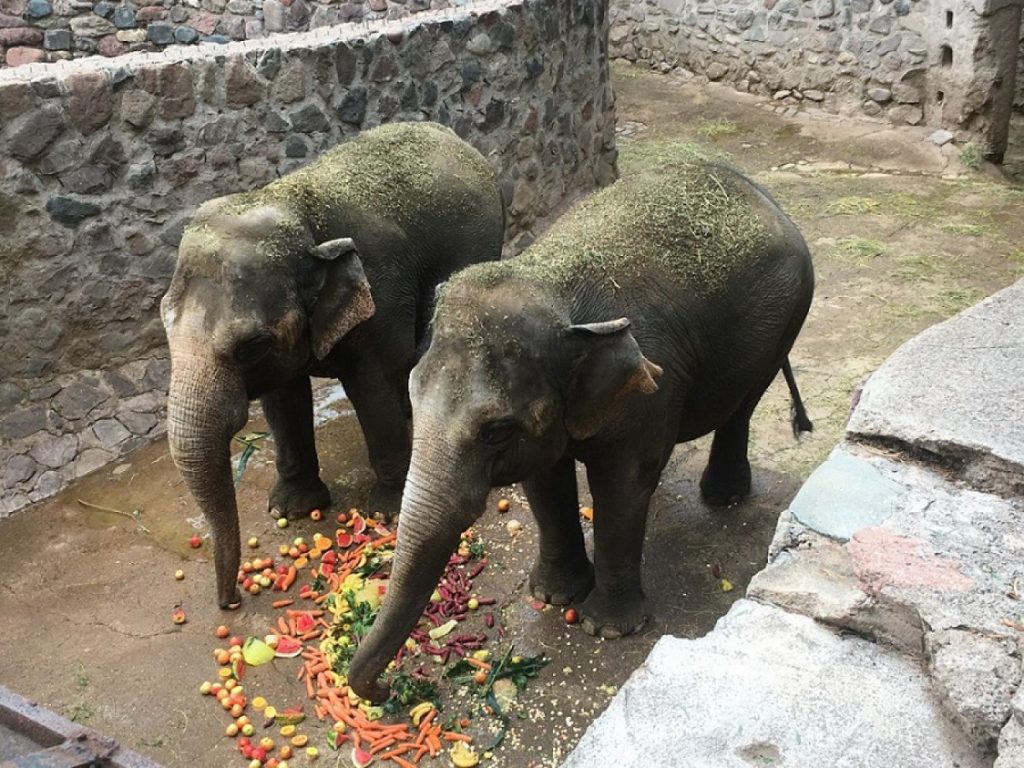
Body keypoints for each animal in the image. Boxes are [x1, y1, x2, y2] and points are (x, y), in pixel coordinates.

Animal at [160, 123, 507, 610]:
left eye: (251, 345)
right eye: (163, 322)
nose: (230, 602)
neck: (296, 206)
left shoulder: (382, 292)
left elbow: (372, 384)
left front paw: (387, 510)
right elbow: (284, 397)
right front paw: (291, 508)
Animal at [348, 162, 811, 704]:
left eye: (494, 431)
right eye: (412, 396)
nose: (390, 691)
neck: (552, 283)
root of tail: (767, 197)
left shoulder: (651, 387)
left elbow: (622, 485)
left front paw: (605, 629)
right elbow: (545, 481)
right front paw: (551, 596)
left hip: (788, 318)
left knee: (744, 405)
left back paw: (723, 498)